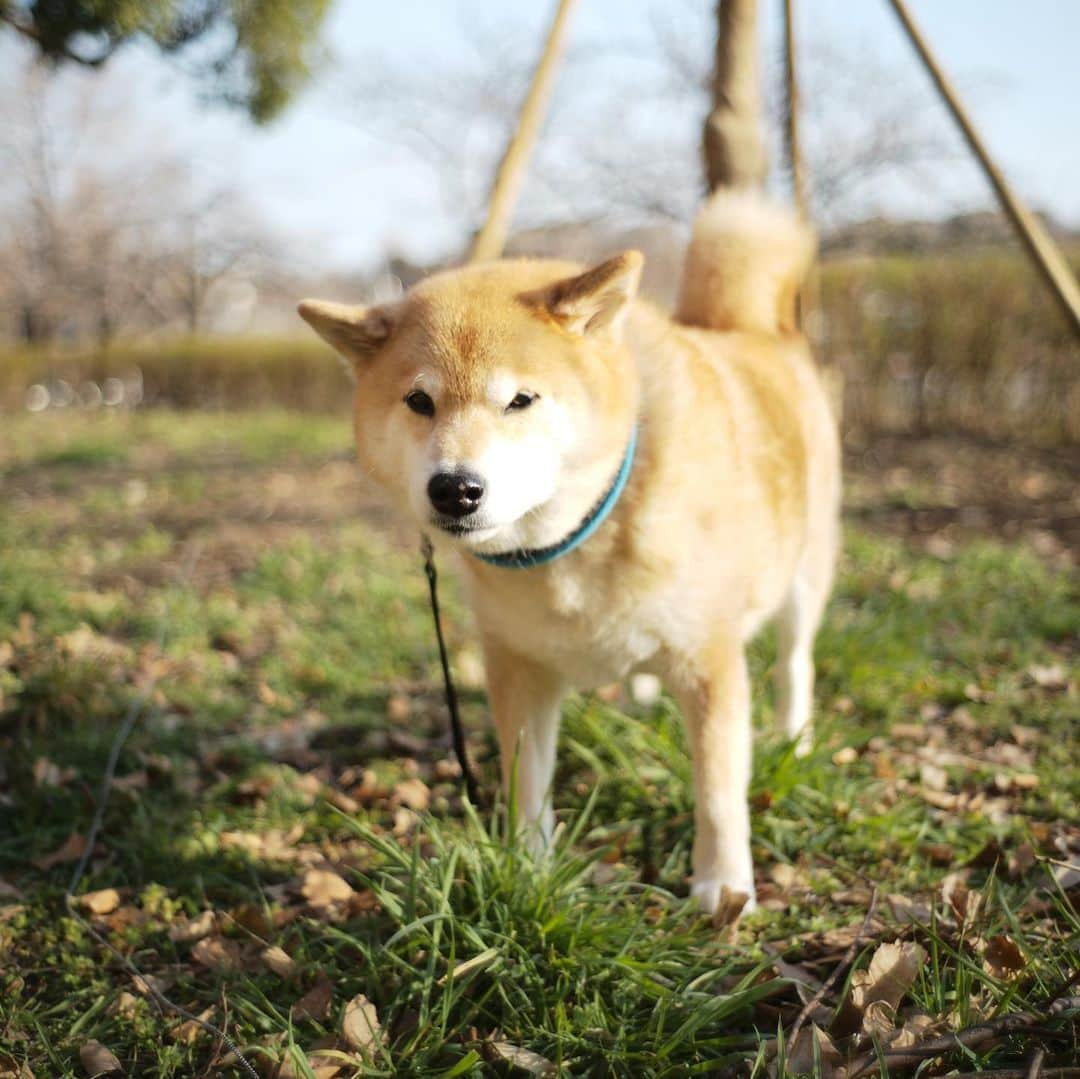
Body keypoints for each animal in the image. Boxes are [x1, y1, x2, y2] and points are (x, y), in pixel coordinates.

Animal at [300, 187, 838, 911]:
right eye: (418, 400)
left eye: (520, 399)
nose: (455, 488)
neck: (572, 540)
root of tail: (751, 332)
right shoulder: (518, 667)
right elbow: (527, 785)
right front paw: (529, 867)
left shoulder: (710, 662)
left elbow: (719, 790)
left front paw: (723, 887)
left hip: (804, 580)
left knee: (794, 664)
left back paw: (794, 737)